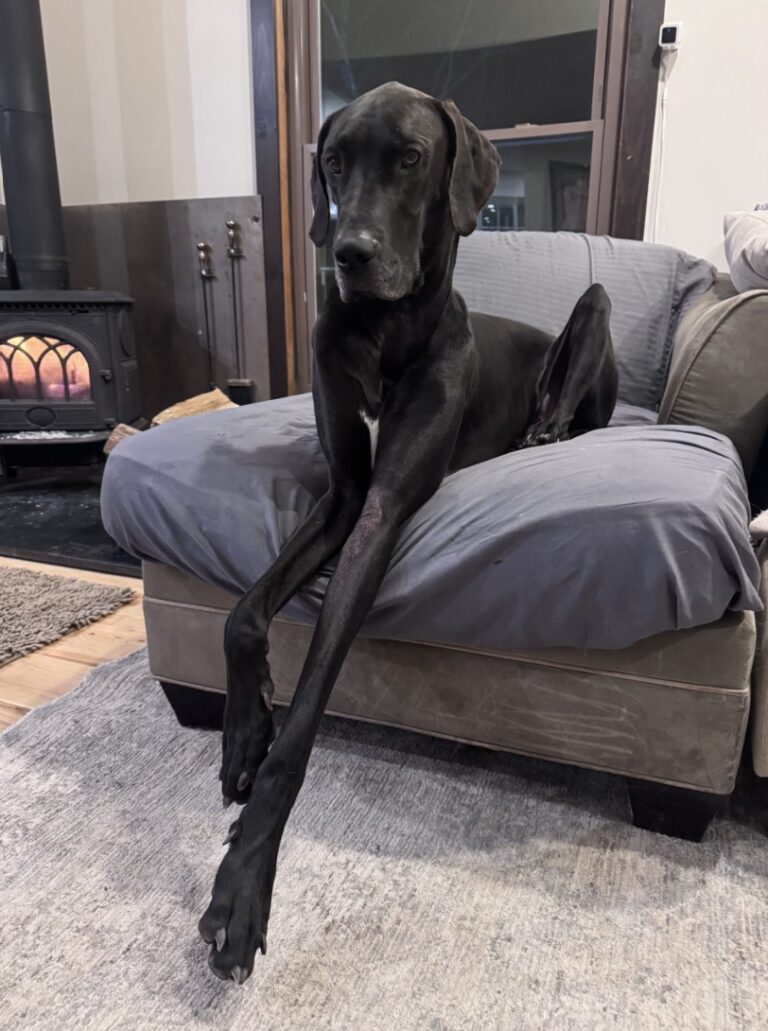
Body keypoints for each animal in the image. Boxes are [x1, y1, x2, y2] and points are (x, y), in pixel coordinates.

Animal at [199, 82, 618, 983]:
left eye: (411, 159)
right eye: (331, 161)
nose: (349, 254)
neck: (384, 333)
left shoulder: (382, 508)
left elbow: (305, 719)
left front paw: (244, 884)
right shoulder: (344, 495)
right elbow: (242, 613)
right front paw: (243, 734)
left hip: (593, 310)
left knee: (577, 389)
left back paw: (543, 431)